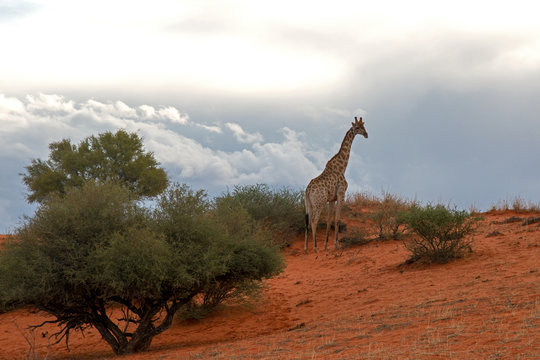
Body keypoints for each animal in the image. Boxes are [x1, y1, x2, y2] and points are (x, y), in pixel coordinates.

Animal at [304, 116, 368, 252]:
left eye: (364, 126)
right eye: (357, 127)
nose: (366, 134)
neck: (342, 167)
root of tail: (307, 190)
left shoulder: (332, 199)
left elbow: (329, 220)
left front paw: (326, 245)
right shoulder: (341, 193)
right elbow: (337, 219)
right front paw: (336, 244)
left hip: (309, 204)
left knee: (307, 220)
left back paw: (306, 247)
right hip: (319, 202)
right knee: (314, 220)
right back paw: (315, 247)